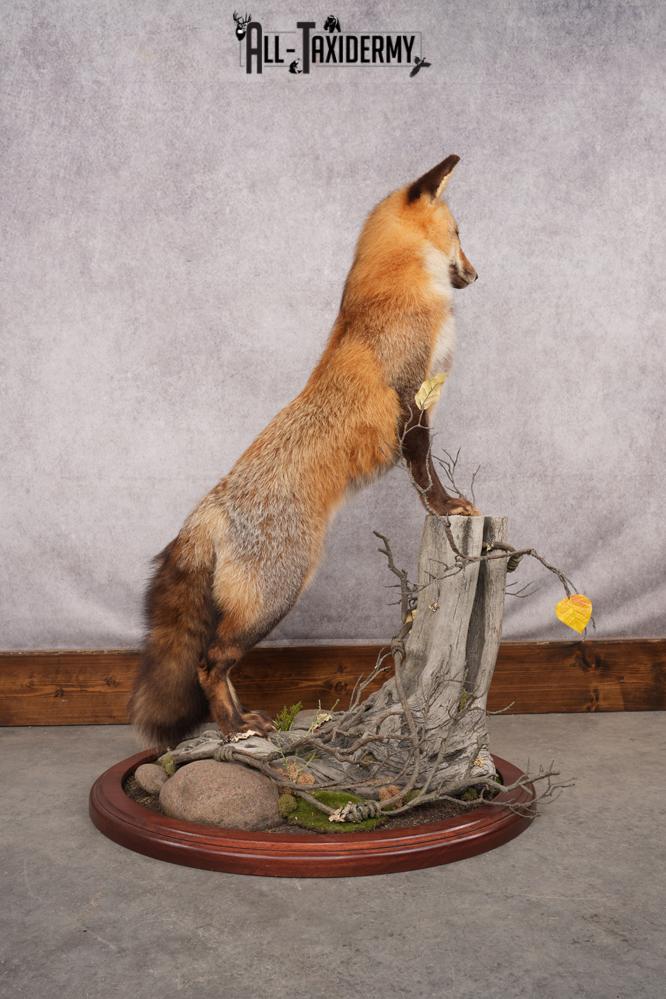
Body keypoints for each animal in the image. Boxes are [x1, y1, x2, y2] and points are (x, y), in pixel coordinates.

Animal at [129, 154, 480, 749]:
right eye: (458, 234)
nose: (476, 276)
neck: (400, 292)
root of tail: (207, 510)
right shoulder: (410, 402)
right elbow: (425, 473)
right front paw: (447, 507)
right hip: (277, 596)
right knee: (209, 661)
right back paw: (232, 728)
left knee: (215, 663)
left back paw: (243, 720)